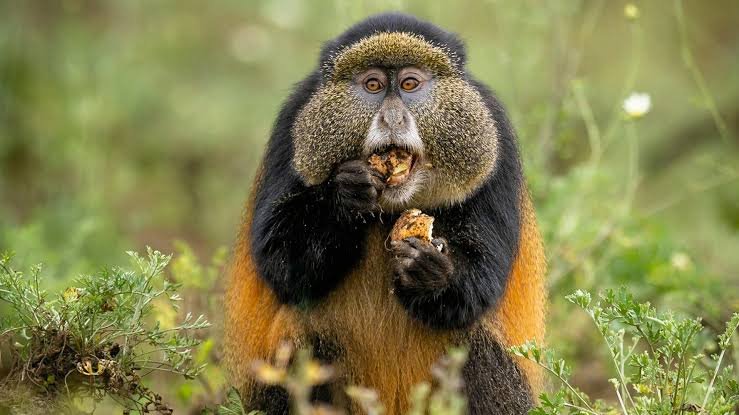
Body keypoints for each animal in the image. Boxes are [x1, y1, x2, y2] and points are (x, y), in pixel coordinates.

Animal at [224, 12, 547, 415]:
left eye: (409, 84)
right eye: (373, 85)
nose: (392, 118)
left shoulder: (494, 136)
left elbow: (482, 281)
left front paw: (429, 271)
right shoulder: (291, 124)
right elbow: (280, 263)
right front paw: (344, 196)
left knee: (472, 340)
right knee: (299, 328)